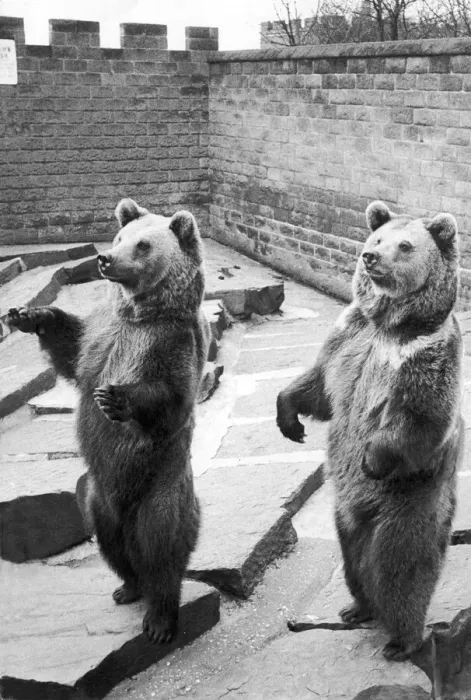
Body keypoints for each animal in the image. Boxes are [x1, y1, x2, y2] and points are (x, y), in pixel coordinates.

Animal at [7, 198, 210, 644]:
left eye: (144, 245)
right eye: (118, 237)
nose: (104, 259)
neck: (139, 313)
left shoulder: (172, 342)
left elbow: (171, 397)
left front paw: (116, 397)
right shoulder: (101, 336)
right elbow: (71, 348)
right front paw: (28, 314)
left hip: (161, 486)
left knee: (161, 545)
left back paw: (159, 618)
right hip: (98, 495)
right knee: (111, 541)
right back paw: (127, 587)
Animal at [276, 200, 464, 661]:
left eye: (406, 245)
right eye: (376, 237)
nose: (370, 257)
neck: (390, 324)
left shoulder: (427, 356)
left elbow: (419, 416)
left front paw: (371, 458)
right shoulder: (350, 336)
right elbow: (320, 387)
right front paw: (289, 420)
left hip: (406, 500)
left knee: (397, 563)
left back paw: (402, 639)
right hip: (345, 513)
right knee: (352, 557)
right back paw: (356, 607)